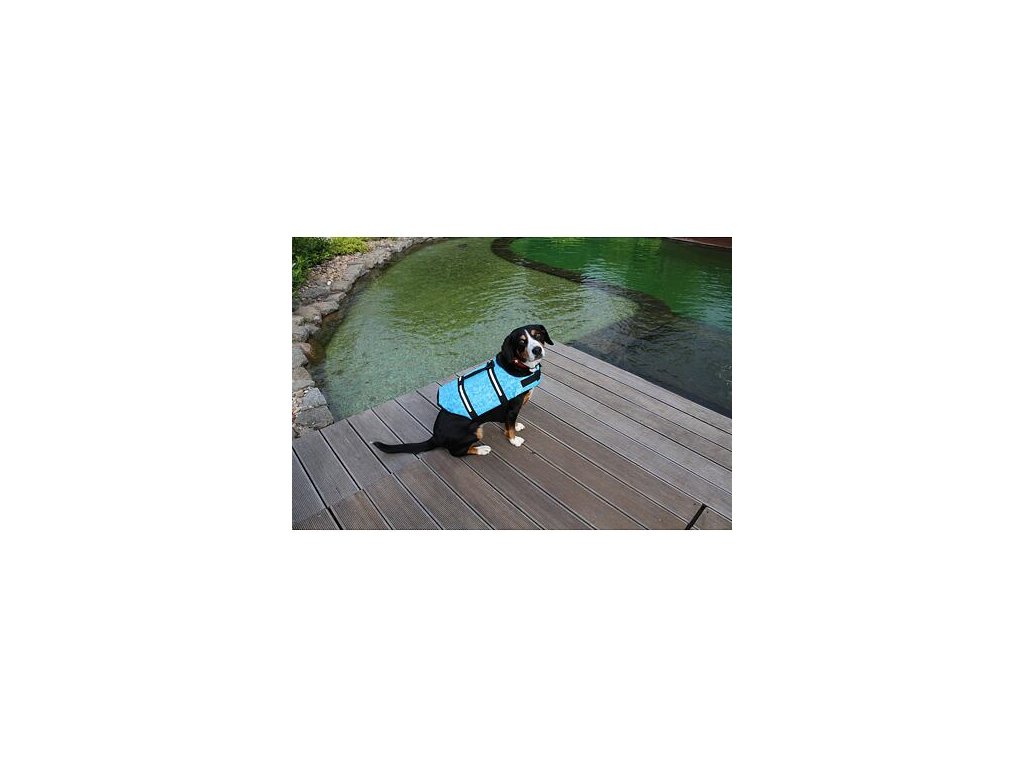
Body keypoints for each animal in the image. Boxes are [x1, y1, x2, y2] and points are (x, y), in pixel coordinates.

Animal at [373, 324, 554, 457]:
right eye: (522, 342)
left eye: (538, 335)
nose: (537, 350)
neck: (518, 365)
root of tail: (436, 436)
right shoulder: (512, 408)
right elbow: (509, 429)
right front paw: (514, 440)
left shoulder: (511, 412)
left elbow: (510, 423)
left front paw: (516, 426)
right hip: (475, 432)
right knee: (456, 452)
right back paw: (481, 449)